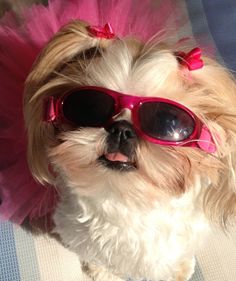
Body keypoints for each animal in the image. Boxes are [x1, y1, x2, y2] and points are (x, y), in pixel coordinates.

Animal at [22, 18, 236, 280]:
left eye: (167, 121)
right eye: (88, 106)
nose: (121, 129)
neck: (128, 199)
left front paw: (178, 269)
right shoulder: (78, 231)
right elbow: (97, 256)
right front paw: (103, 271)